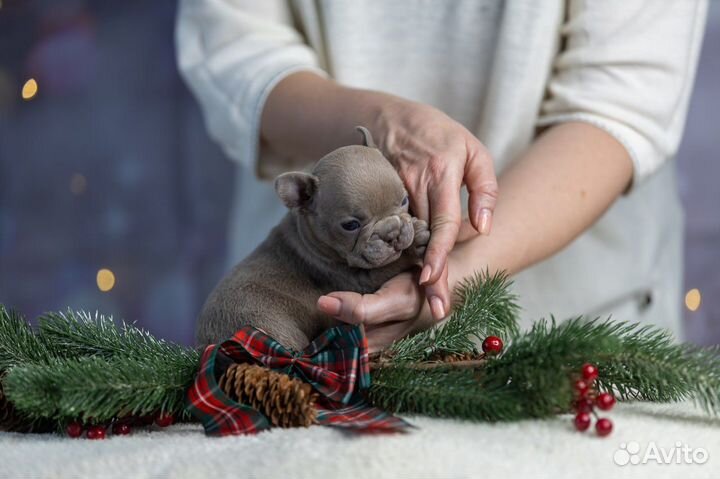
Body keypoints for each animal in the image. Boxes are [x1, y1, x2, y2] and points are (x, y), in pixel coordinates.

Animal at [197, 127, 430, 352]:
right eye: (351, 225)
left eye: (405, 200)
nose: (392, 232)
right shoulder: (358, 280)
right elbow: (390, 265)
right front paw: (416, 244)